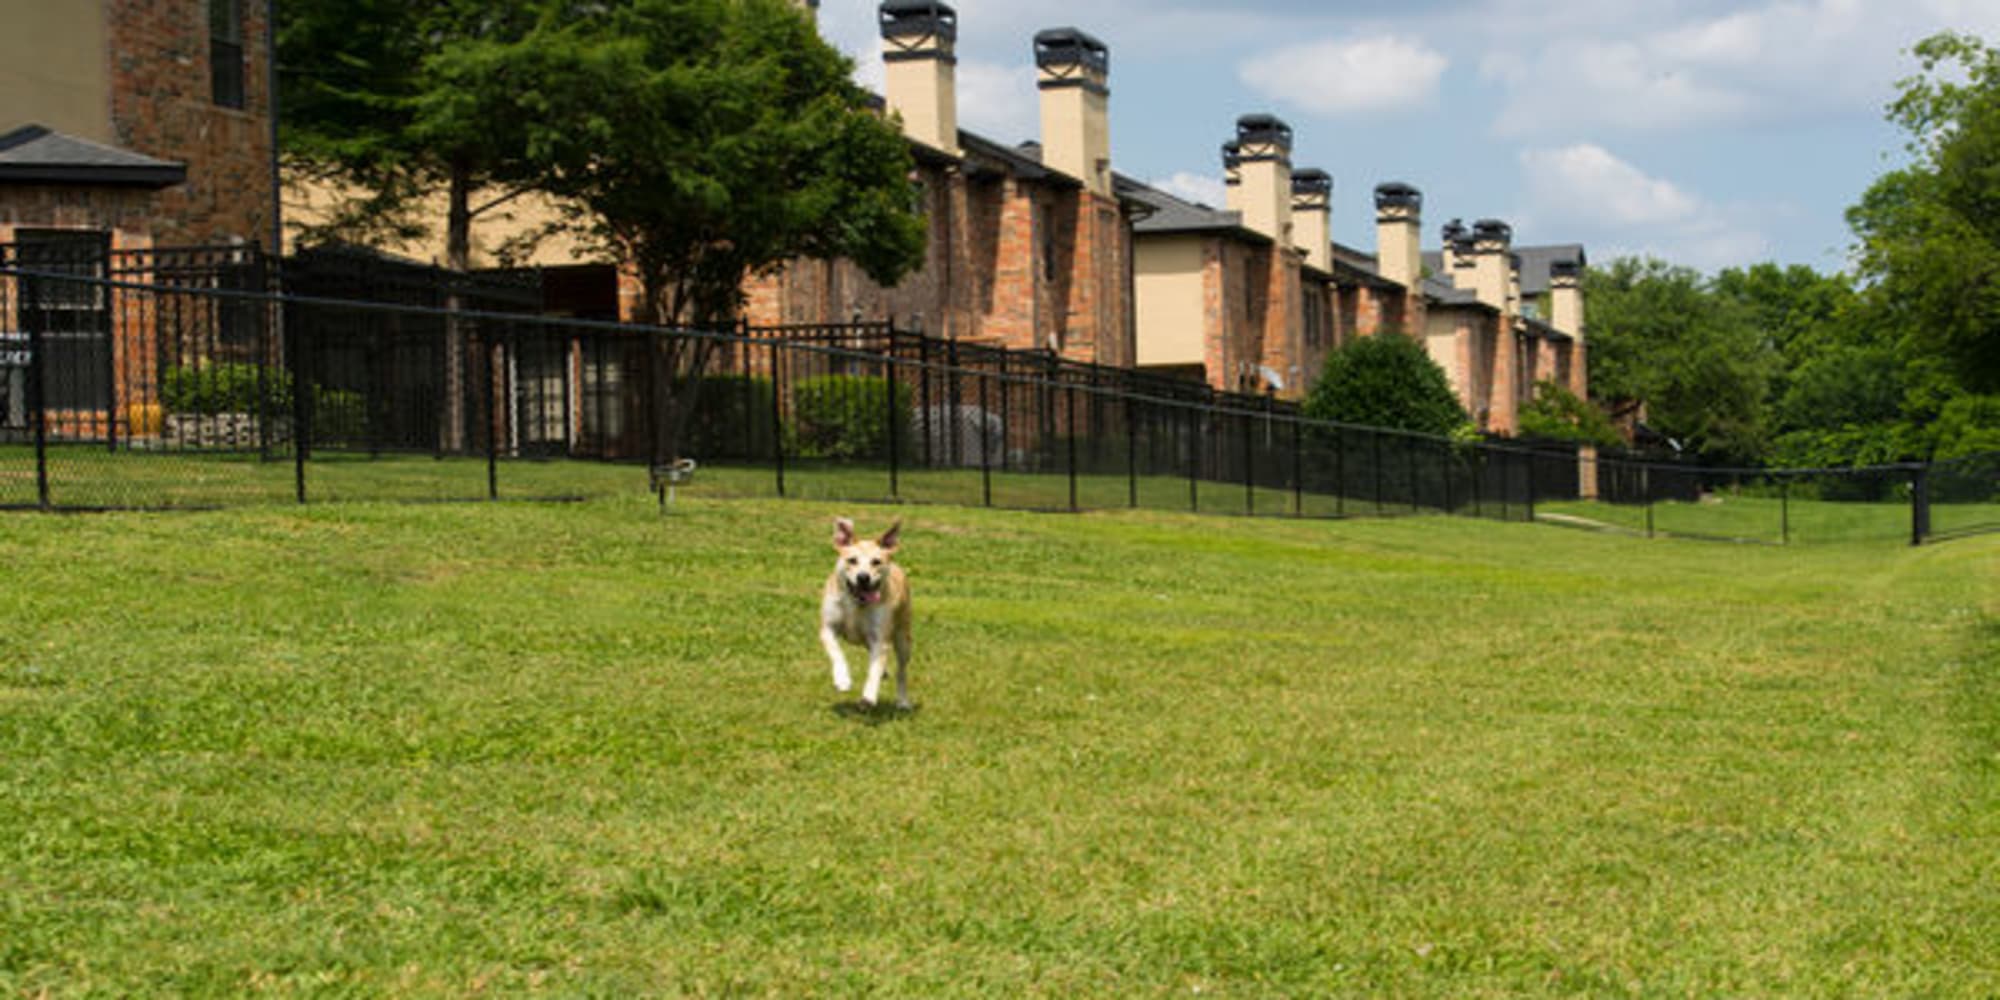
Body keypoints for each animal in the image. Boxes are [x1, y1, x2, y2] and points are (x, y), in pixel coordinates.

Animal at [816, 520, 912, 708]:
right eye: (852, 560)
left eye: (876, 562)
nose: (863, 577)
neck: (856, 603)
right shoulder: (828, 628)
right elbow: (836, 651)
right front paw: (842, 679)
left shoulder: (880, 636)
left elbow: (874, 667)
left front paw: (868, 696)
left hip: (903, 636)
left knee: (901, 670)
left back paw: (903, 700)